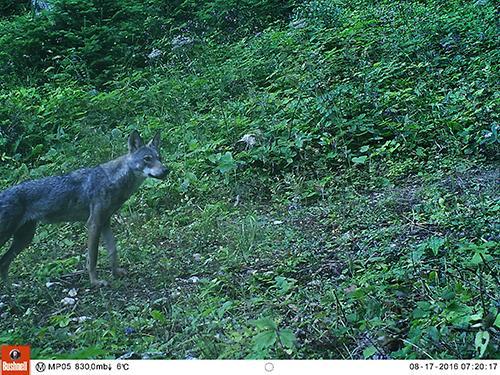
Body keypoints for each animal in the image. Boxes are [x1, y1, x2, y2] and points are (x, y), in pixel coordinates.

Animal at [0, 130, 168, 288]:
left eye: (159, 157)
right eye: (147, 159)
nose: (166, 170)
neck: (112, 180)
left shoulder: (105, 222)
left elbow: (113, 251)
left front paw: (116, 273)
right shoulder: (93, 224)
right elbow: (92, 258)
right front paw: (95, 282)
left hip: (25, 238)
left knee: (4, 262)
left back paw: (11, 289)